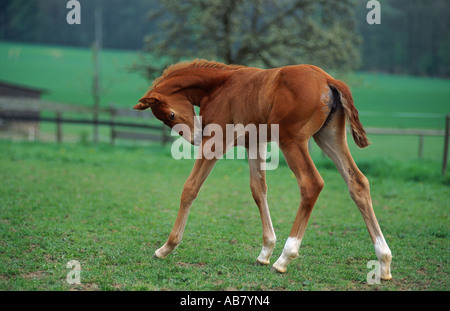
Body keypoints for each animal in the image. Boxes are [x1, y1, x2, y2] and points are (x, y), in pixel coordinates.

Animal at [133, 59, 390, 280]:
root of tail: (328, 79)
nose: (196, 138)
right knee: (358, 182)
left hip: (291, 140)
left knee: (311, 183)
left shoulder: (215, 142)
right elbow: (258, 190)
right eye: (166, 119)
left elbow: (190, 188)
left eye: (171, 114)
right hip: (329, 136)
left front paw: (166, 247)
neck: (220, 86)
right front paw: (265, 251)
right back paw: (384, 261)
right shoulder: (254, 144)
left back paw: (285, 258)